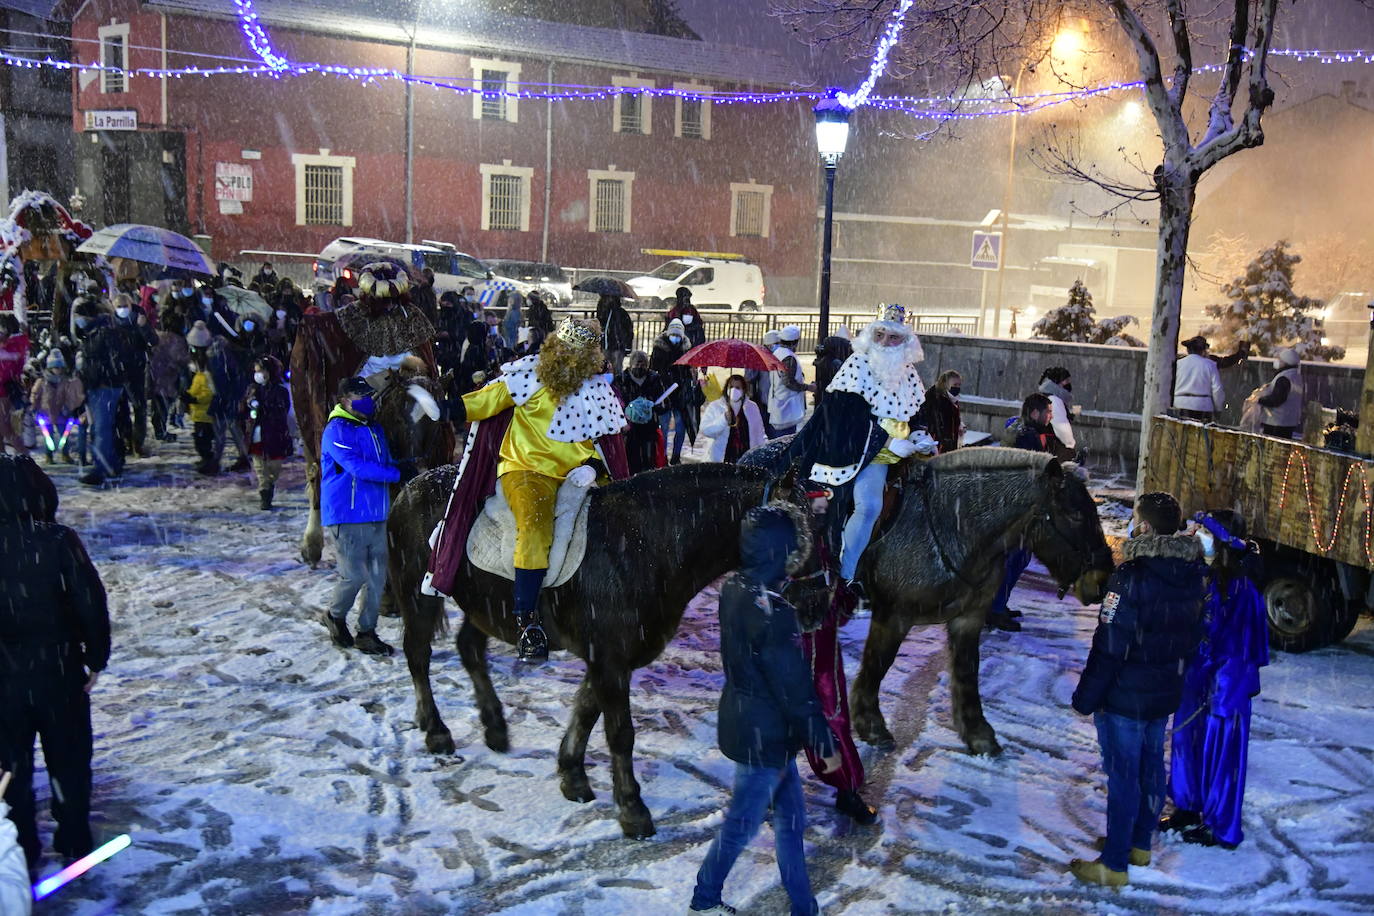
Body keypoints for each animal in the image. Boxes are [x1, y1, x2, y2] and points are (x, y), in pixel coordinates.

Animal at [291, 311, 456, 563]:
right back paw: (311, 543)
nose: (416, 472)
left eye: (437, 424)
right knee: (314, 478)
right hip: (307, 428)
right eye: (397, 418)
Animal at [381, 466, 807, 840]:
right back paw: (436, 730)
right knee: (418, 656)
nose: (808, 608)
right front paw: (632, 810)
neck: (649, 543)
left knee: (469, 649)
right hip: (420, 595)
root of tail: (412, 484)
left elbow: (586, 710)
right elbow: (619, 733)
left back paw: (495, 726)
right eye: (799, 531)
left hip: (486, 606)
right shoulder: (610, 659)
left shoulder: (610, 658)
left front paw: (572, 774)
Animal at [835, 450, 1115, 758]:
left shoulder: (968, 618)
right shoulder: (892, 616)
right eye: (1075, 515)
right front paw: (871, 726)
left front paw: (978, 734)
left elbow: (968, 673)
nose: (1102, 581)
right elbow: (877, 667)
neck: (950, 527)